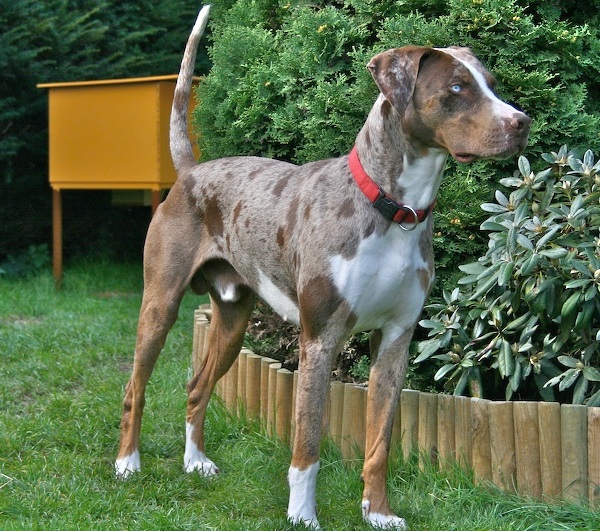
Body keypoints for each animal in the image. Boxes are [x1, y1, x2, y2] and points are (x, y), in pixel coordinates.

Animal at [116, 5, 528, 531]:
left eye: (491, 83)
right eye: (457, 87)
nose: (523, 122)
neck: (393, 211)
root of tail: (191, 172)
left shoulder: (395, 342)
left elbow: (379, 444)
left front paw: (378, 512)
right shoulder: (320, 339)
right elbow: (307, 444)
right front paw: (302, 515)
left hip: (232, 320)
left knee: (196, 387)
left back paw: (195, 461)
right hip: (160, 305)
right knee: (136, 386)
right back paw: (128, 463)